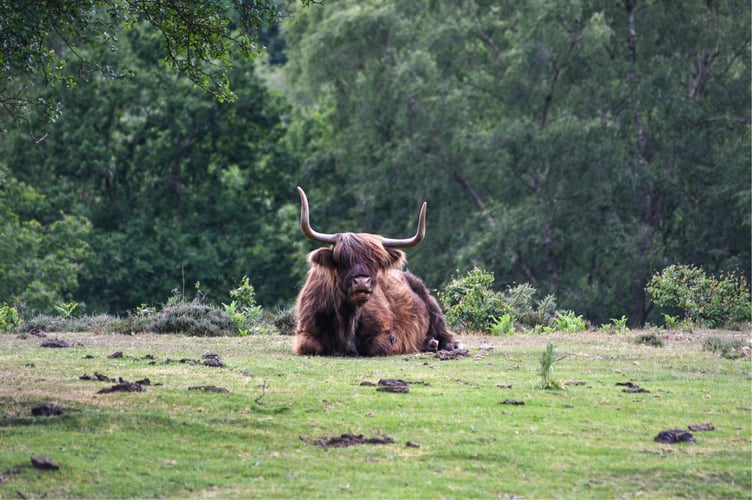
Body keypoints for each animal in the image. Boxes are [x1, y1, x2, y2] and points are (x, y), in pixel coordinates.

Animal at [292, 187, 458, 356]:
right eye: (342, 259)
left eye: (376, 262)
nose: (361, 282)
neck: (348, 318)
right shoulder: (305, 331)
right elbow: (310, 346)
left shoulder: (387, 334)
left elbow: (377, 346)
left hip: (432, 305)